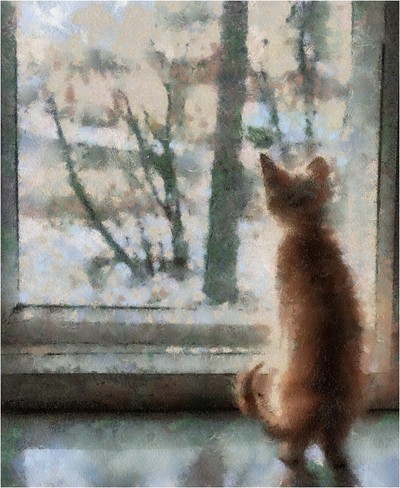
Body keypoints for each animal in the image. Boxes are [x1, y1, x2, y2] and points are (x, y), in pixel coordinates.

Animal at [236, 154, 365, 485]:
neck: (310, 233)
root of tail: (323, 409)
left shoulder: (282, 306)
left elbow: (278, 331)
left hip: (280, 389)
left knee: (294, 451)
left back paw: (288, 455)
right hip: (352, 403)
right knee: (331, 450)